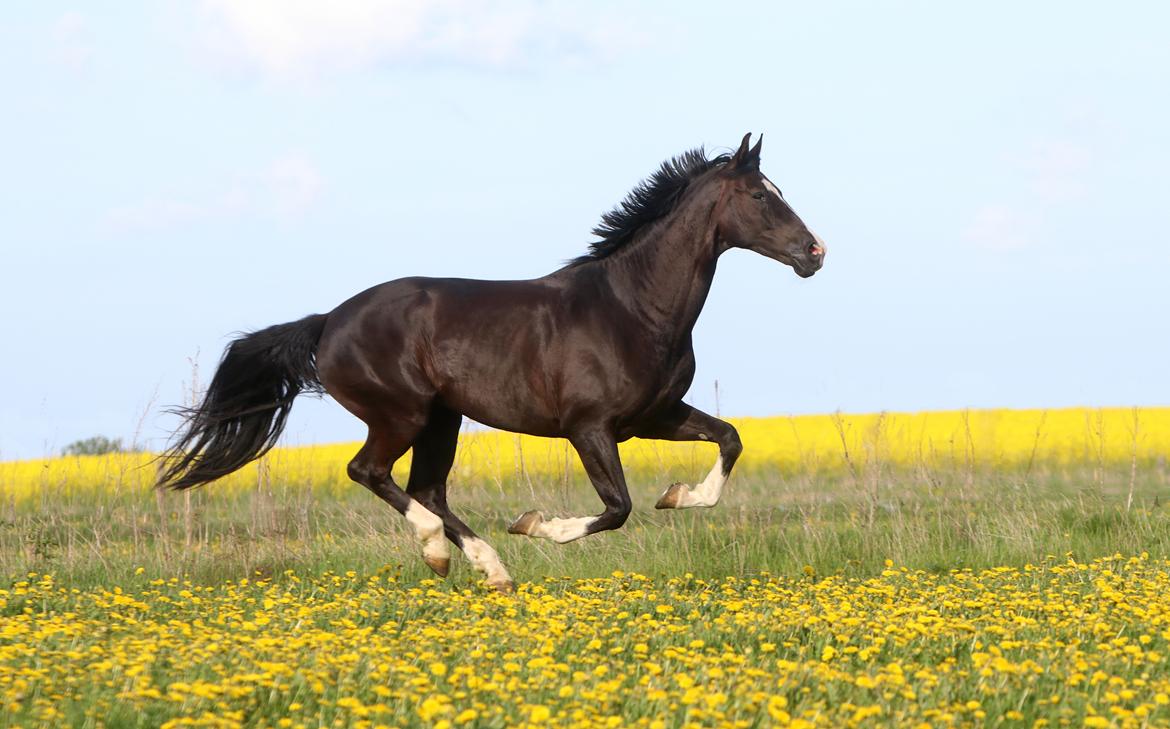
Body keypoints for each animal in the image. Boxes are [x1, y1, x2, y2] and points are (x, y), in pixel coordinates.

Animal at [160, 133, 828, 594]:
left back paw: (491, 569)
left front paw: (677, 495)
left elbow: (729, 440)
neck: (632, 308)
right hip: (401, 414)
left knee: (426, 488)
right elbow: (617, 508)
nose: (814, 252)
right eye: (759, 196)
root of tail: (328, 322)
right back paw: (440, 553)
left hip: (443, 419)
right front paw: (536, 525)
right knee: (370, 473)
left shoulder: (654, 416)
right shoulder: (590, 427)